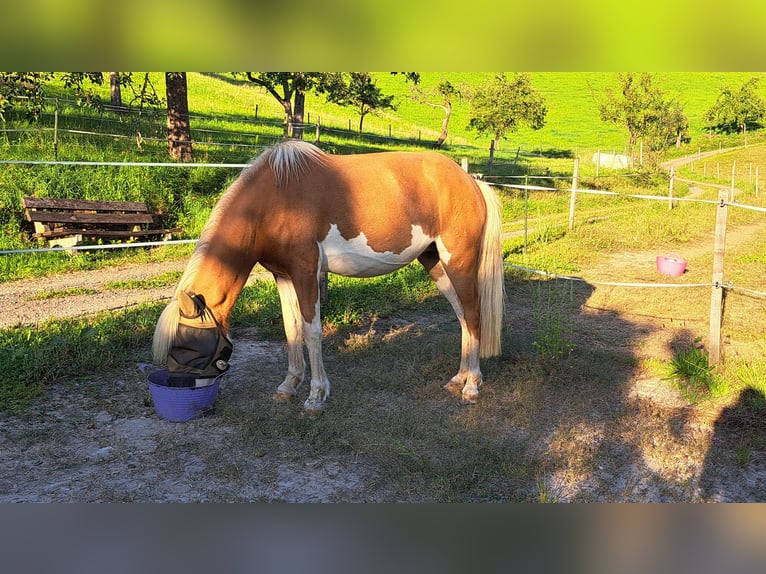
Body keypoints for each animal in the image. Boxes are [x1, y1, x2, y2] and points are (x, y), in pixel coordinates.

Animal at [153, 139, 505, 411]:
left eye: (188, 346)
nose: (180, 389)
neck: (274, 200)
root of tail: (470, 180)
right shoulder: (283, 276)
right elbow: (291, 330)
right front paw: (288, 386)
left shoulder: (306, 272)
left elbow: (311, 332)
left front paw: (316, 396)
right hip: (434, 262)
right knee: (462, 315)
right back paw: (458, 378)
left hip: (458, 261)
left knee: (474, 315)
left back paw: (471, 386)